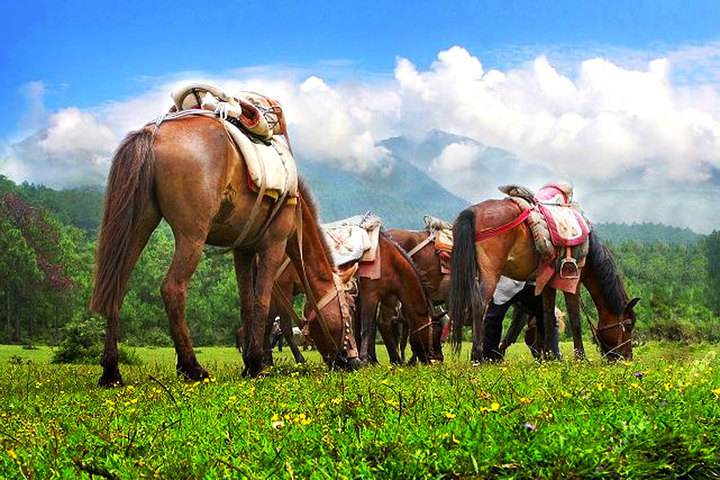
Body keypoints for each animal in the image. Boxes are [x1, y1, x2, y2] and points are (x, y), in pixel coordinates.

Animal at [90, 115, 360, 386]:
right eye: (348, 310)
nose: (355, 361)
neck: (297, 216)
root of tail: (153, 133)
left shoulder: (243, 250)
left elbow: (247, 303)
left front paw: (250, 362)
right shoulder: (274, 246)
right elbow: (262, 302)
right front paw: (259, 364)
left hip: (139, 225)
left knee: (117, 287)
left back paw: (111, 371)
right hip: (192, 235)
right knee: (172, 288)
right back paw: (192, 367)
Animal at [448, 200, 640, 364]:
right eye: (629, 325)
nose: (627, 358)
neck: (588, 251)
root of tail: (473, 212)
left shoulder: (548, 283)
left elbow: (547, 316)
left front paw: (551, 356)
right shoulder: (572, 281)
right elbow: (575, 320)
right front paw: (580, 358)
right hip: (491, 273)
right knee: (479, 305)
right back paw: (477, 357)